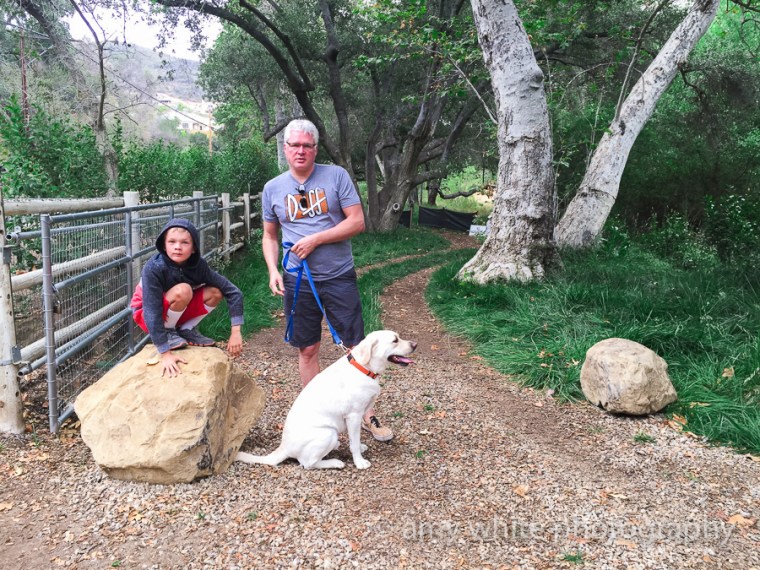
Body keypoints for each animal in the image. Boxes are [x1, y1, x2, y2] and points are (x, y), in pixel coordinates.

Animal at [236, 330, 417, 470]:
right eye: (395, 340)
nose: (415, 345)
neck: (363, 368)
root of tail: (284, 447)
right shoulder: (354, 415)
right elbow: (354, 443)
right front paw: (359, 462)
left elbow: (355, 439)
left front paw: (360, 447)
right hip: (327, 434)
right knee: (307, 463)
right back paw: (335, 462)